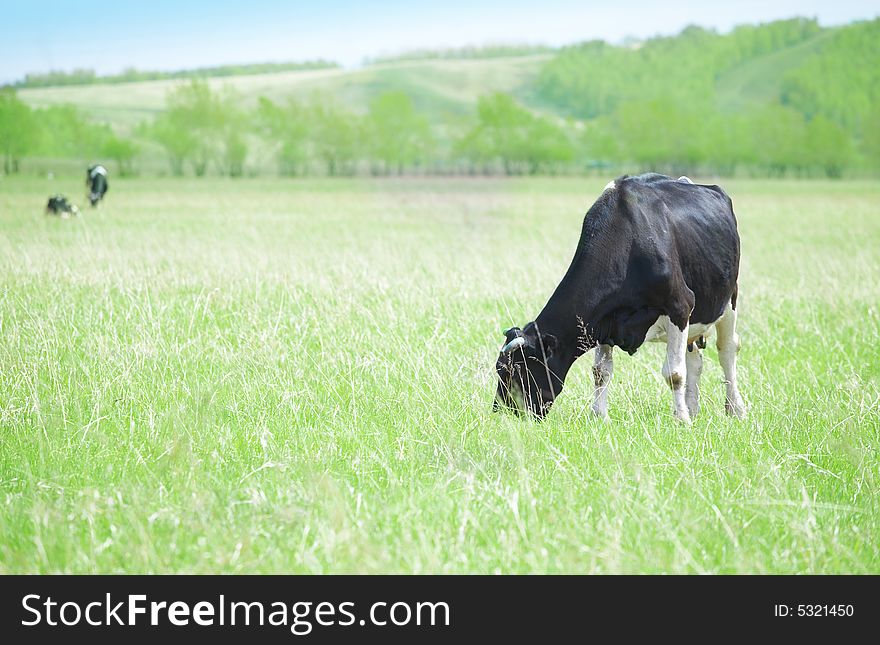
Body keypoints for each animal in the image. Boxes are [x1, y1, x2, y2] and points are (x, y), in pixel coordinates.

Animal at [492, 172, 744, 422]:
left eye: (517, 369)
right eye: (499, 368)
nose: (501, 412)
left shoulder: (680, 305)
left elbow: (674, 373)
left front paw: (681, 420)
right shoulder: (604, 319)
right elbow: (600, 371)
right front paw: (599, 416)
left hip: (729, 298)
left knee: (727, 350)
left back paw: (735, 409)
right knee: (695, 359)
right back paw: (693, 407)